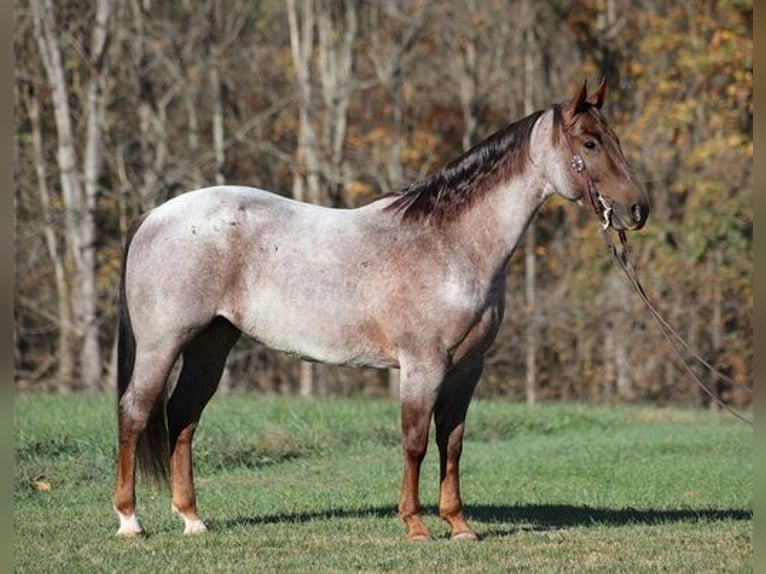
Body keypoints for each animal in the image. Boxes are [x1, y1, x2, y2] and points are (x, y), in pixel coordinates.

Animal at [115, 79, 648, 544]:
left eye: (615, 139)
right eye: (590, 142)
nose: (637, 210)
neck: (450, 245)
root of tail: (154, 216)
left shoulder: (467, 370)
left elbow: (452, 443)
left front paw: (459, 525)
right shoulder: (422, 366)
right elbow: (414, 441)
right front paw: (415, 525)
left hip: (211, 344)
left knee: (183, 417)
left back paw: (192, 519)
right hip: (163, 344)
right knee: (135, 412)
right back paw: (130, 521)